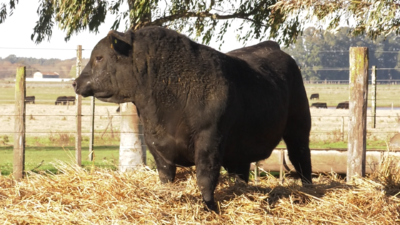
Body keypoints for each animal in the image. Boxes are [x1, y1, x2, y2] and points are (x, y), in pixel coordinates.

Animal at [72, 26, 312, 211]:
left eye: (99, 57)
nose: (76, 82)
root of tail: (272, 46)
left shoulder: (209, 140)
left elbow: (205, 178)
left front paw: (210, 207)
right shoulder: (156, 145)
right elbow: (166, 177)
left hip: (299, 126)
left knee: (301, 158)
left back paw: (309, 190)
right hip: (241, 144)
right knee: (241, 170)